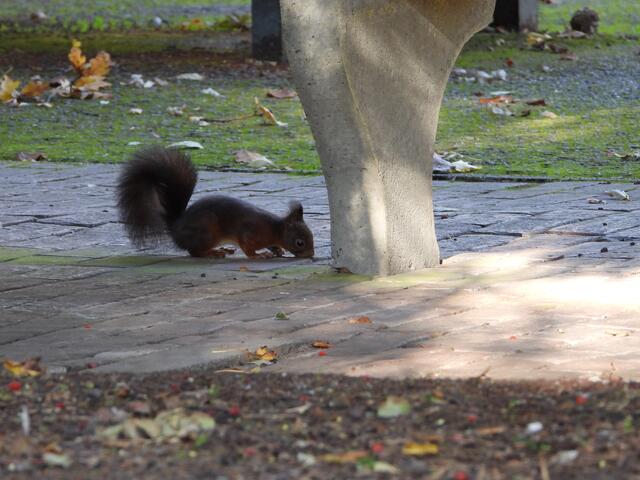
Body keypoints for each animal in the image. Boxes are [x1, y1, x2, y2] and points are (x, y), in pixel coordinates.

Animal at [116, 146, 315, 259]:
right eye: (300, 243)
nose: (310, 255)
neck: (274, 229)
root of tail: (175, 229)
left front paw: (277, 250)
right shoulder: (249, 232)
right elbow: (247, 247)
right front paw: (259, 255)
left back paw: (223, 249)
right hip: (206, 230)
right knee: (194, 252)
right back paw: (213, 253)